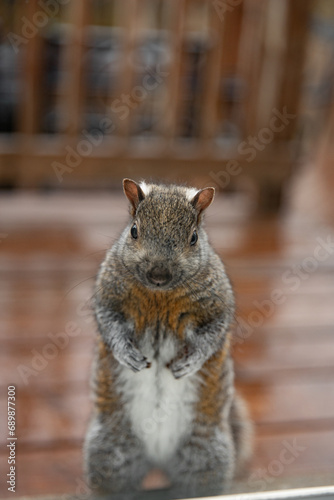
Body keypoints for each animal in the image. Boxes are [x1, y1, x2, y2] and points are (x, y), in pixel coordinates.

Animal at [83, 179, 250, 496]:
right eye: (134, 230)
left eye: (194, 238)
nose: (158, 274)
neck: (160, 296)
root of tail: (158, 459)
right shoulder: (110, 294)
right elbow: (109, 324)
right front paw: (126, 354)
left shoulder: (216, 303)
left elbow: (213, 334)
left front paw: (191, 363)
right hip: (110, 450)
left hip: (206, 454)